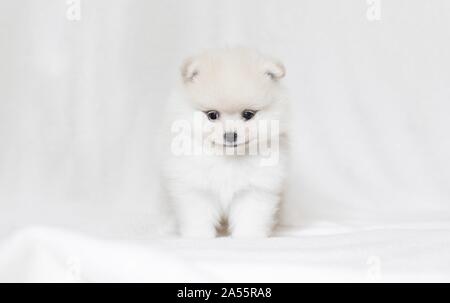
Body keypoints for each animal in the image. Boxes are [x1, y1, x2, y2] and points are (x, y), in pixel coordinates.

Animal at [163, 47, 290, 239]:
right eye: (212, 115)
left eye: (248, 114)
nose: (230, 135)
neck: (228, 158)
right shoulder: (196, 189)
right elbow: (198, 216)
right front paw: (198, 237)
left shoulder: (254, 189)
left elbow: (250, 216)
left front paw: (248, 237)